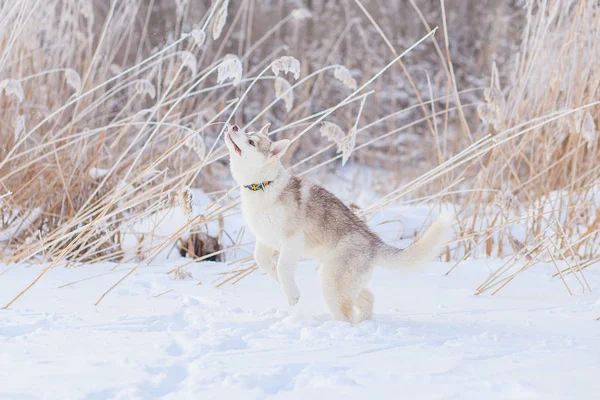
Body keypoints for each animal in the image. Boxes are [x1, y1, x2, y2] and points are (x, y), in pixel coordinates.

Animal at [224, 123, 450, 324]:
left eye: (251, 141)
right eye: (248, 130)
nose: (233, 126)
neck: (263, 186)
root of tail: (374, 242)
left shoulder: (292, 240)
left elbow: (282, 267)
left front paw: (292, 294)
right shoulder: (265, 241)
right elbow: (264, 262)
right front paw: (282, 283)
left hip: (331, 281)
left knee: (346, 313)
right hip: (341, 279)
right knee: (367, 297)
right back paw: (364, 323)